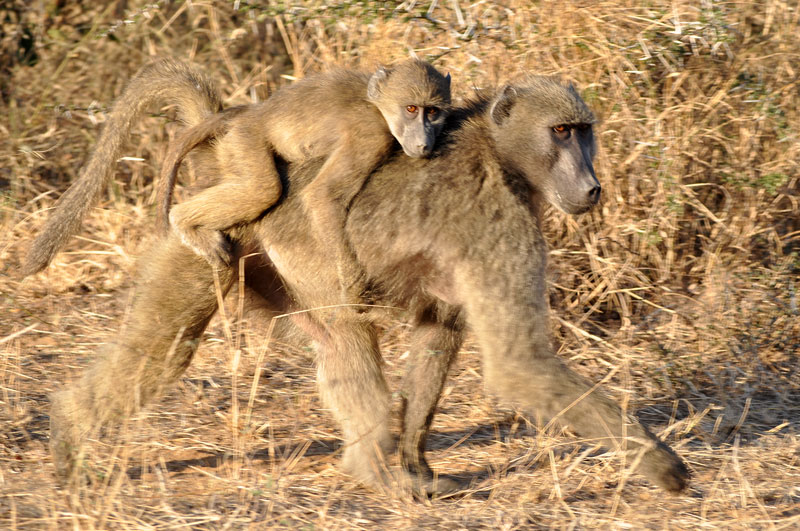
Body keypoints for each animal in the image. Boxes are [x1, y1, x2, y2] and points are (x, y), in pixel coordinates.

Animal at [156, 59, 451, 304]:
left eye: (433, 111)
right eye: (411, 109)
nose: (424, 144)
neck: (377, 107)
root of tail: (252, 113)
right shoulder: (369, 134)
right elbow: (323, 195)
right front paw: (355, 288)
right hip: (243, 140)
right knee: (262, 190)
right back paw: (183, 220)